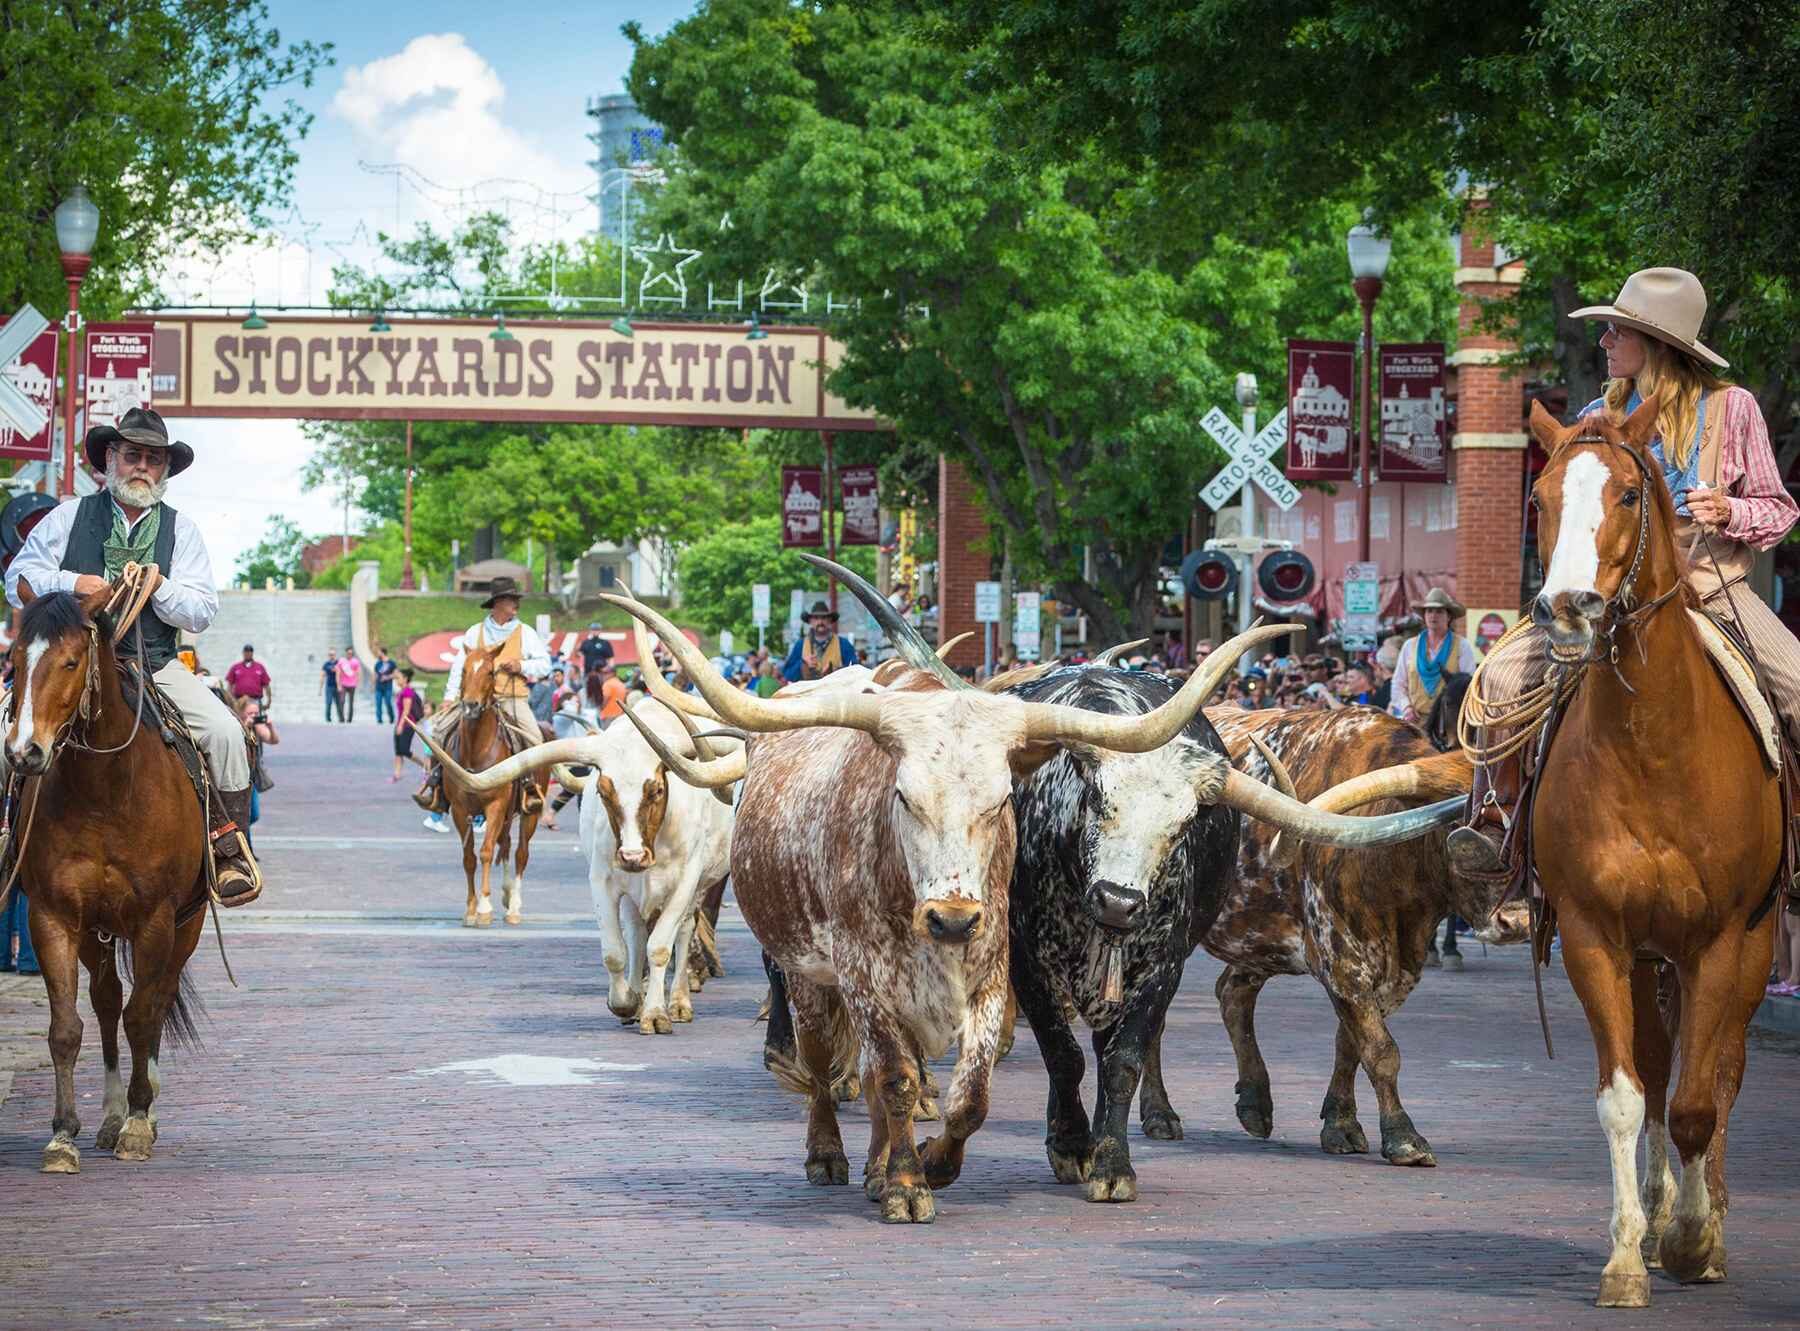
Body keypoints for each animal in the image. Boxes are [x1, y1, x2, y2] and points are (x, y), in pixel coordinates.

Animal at [3, 576, 206, 1174]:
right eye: (13, 660)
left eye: (71, 661)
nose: (24, 752)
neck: (104, 792)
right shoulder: (52, 916)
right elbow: (67, 1028)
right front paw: (62, 1135)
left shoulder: (156, 919)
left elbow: (144, 1016)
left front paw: (140, 1126)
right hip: (98, 932)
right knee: (108, 1000)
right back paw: (112, 1115)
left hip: (185, 925)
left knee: (154, 1001)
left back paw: (142, 1111)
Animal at [441, 644, 543, 929]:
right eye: (464, 669)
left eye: (490, 671)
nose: (470, 705)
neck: (476, 750)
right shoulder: (459, 809)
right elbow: (469, 857)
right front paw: (471, 909)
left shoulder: (495, 806)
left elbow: (486, 851)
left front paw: (484, 908)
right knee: (506, 844)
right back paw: (506, 895)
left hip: (530, 813)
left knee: (520, 853)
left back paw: (514, 906)